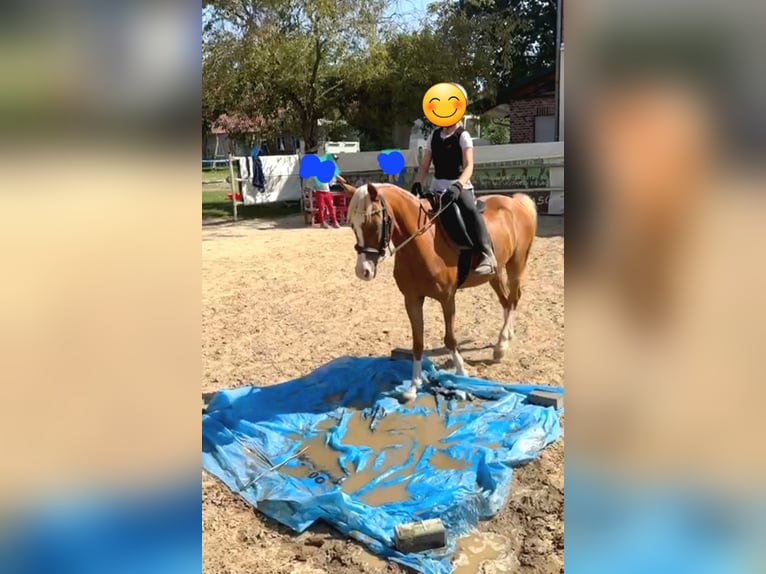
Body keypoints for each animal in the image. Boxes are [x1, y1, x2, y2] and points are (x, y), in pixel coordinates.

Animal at [337, 178, 538, 400]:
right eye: (352, 225)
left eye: (373, 224)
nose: (362, 271)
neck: (422, 243)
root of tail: (516, 202)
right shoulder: (412, 299)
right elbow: (417, 342)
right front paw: (413, 387)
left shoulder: (447, 298)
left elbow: (450, 339)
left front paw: (462, 374)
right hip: (495, 272)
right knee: (506, 301)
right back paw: (506, 337)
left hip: (516, 265)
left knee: (514, 299)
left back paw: (501, 346)